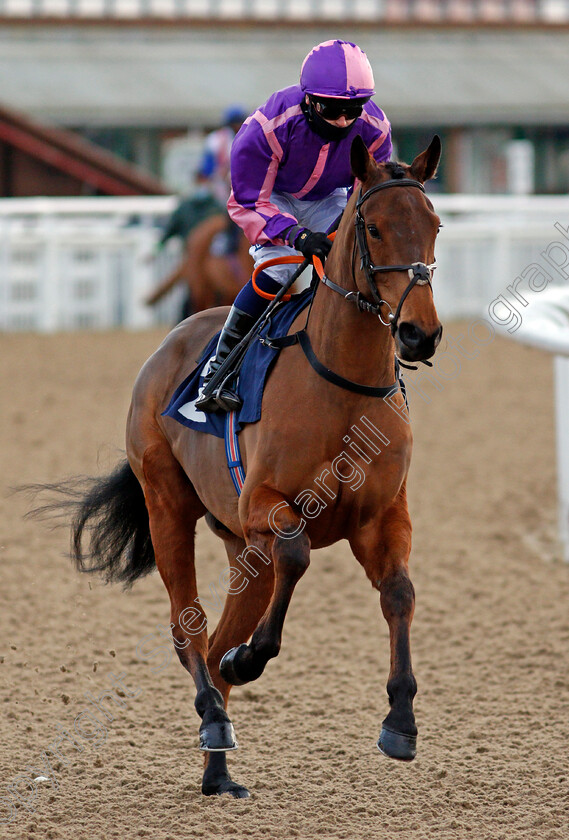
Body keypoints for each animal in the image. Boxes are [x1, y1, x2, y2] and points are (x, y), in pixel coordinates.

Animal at [65, 135, 444, 796]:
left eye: (435, 225)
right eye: (373, 228)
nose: (420, 333)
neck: (342, 386)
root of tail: (170, 343)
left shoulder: (381, 519)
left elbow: (400, 592)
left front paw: (401, 722)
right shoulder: (264, 504)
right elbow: (295, 551)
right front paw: (253, 657)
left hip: (242, 548)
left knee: (216, 640)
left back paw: (218, 770)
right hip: (169, 505)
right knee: (189, 629)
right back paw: (213, 720)